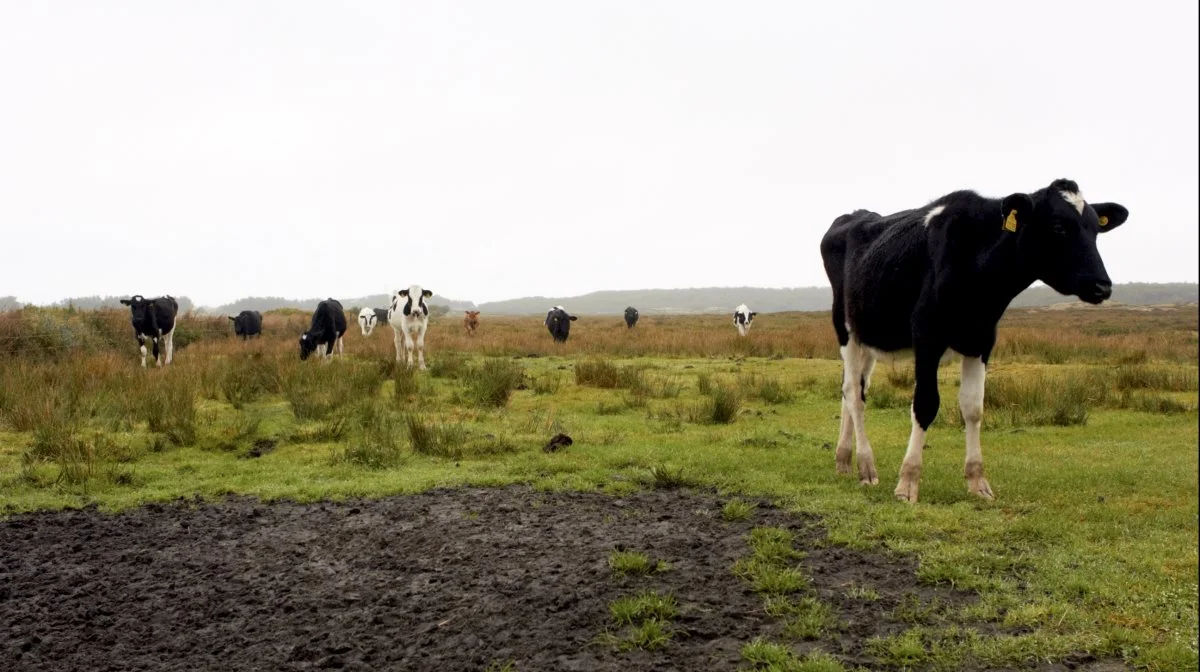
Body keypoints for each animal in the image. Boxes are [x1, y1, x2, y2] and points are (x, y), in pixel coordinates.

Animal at [820, 178, 1128, 504]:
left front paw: (977, 480)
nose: (1102, 286)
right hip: (845, 328)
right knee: (854, 393)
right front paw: (908, 481)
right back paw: (866, 466)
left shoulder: (981, 340)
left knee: (853, 389)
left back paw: (844, 459)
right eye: (1058, 226)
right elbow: (925, 403)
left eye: (1095, 229)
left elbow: (973, 407)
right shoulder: (927, 335)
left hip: (868, 338)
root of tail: (855, 215)